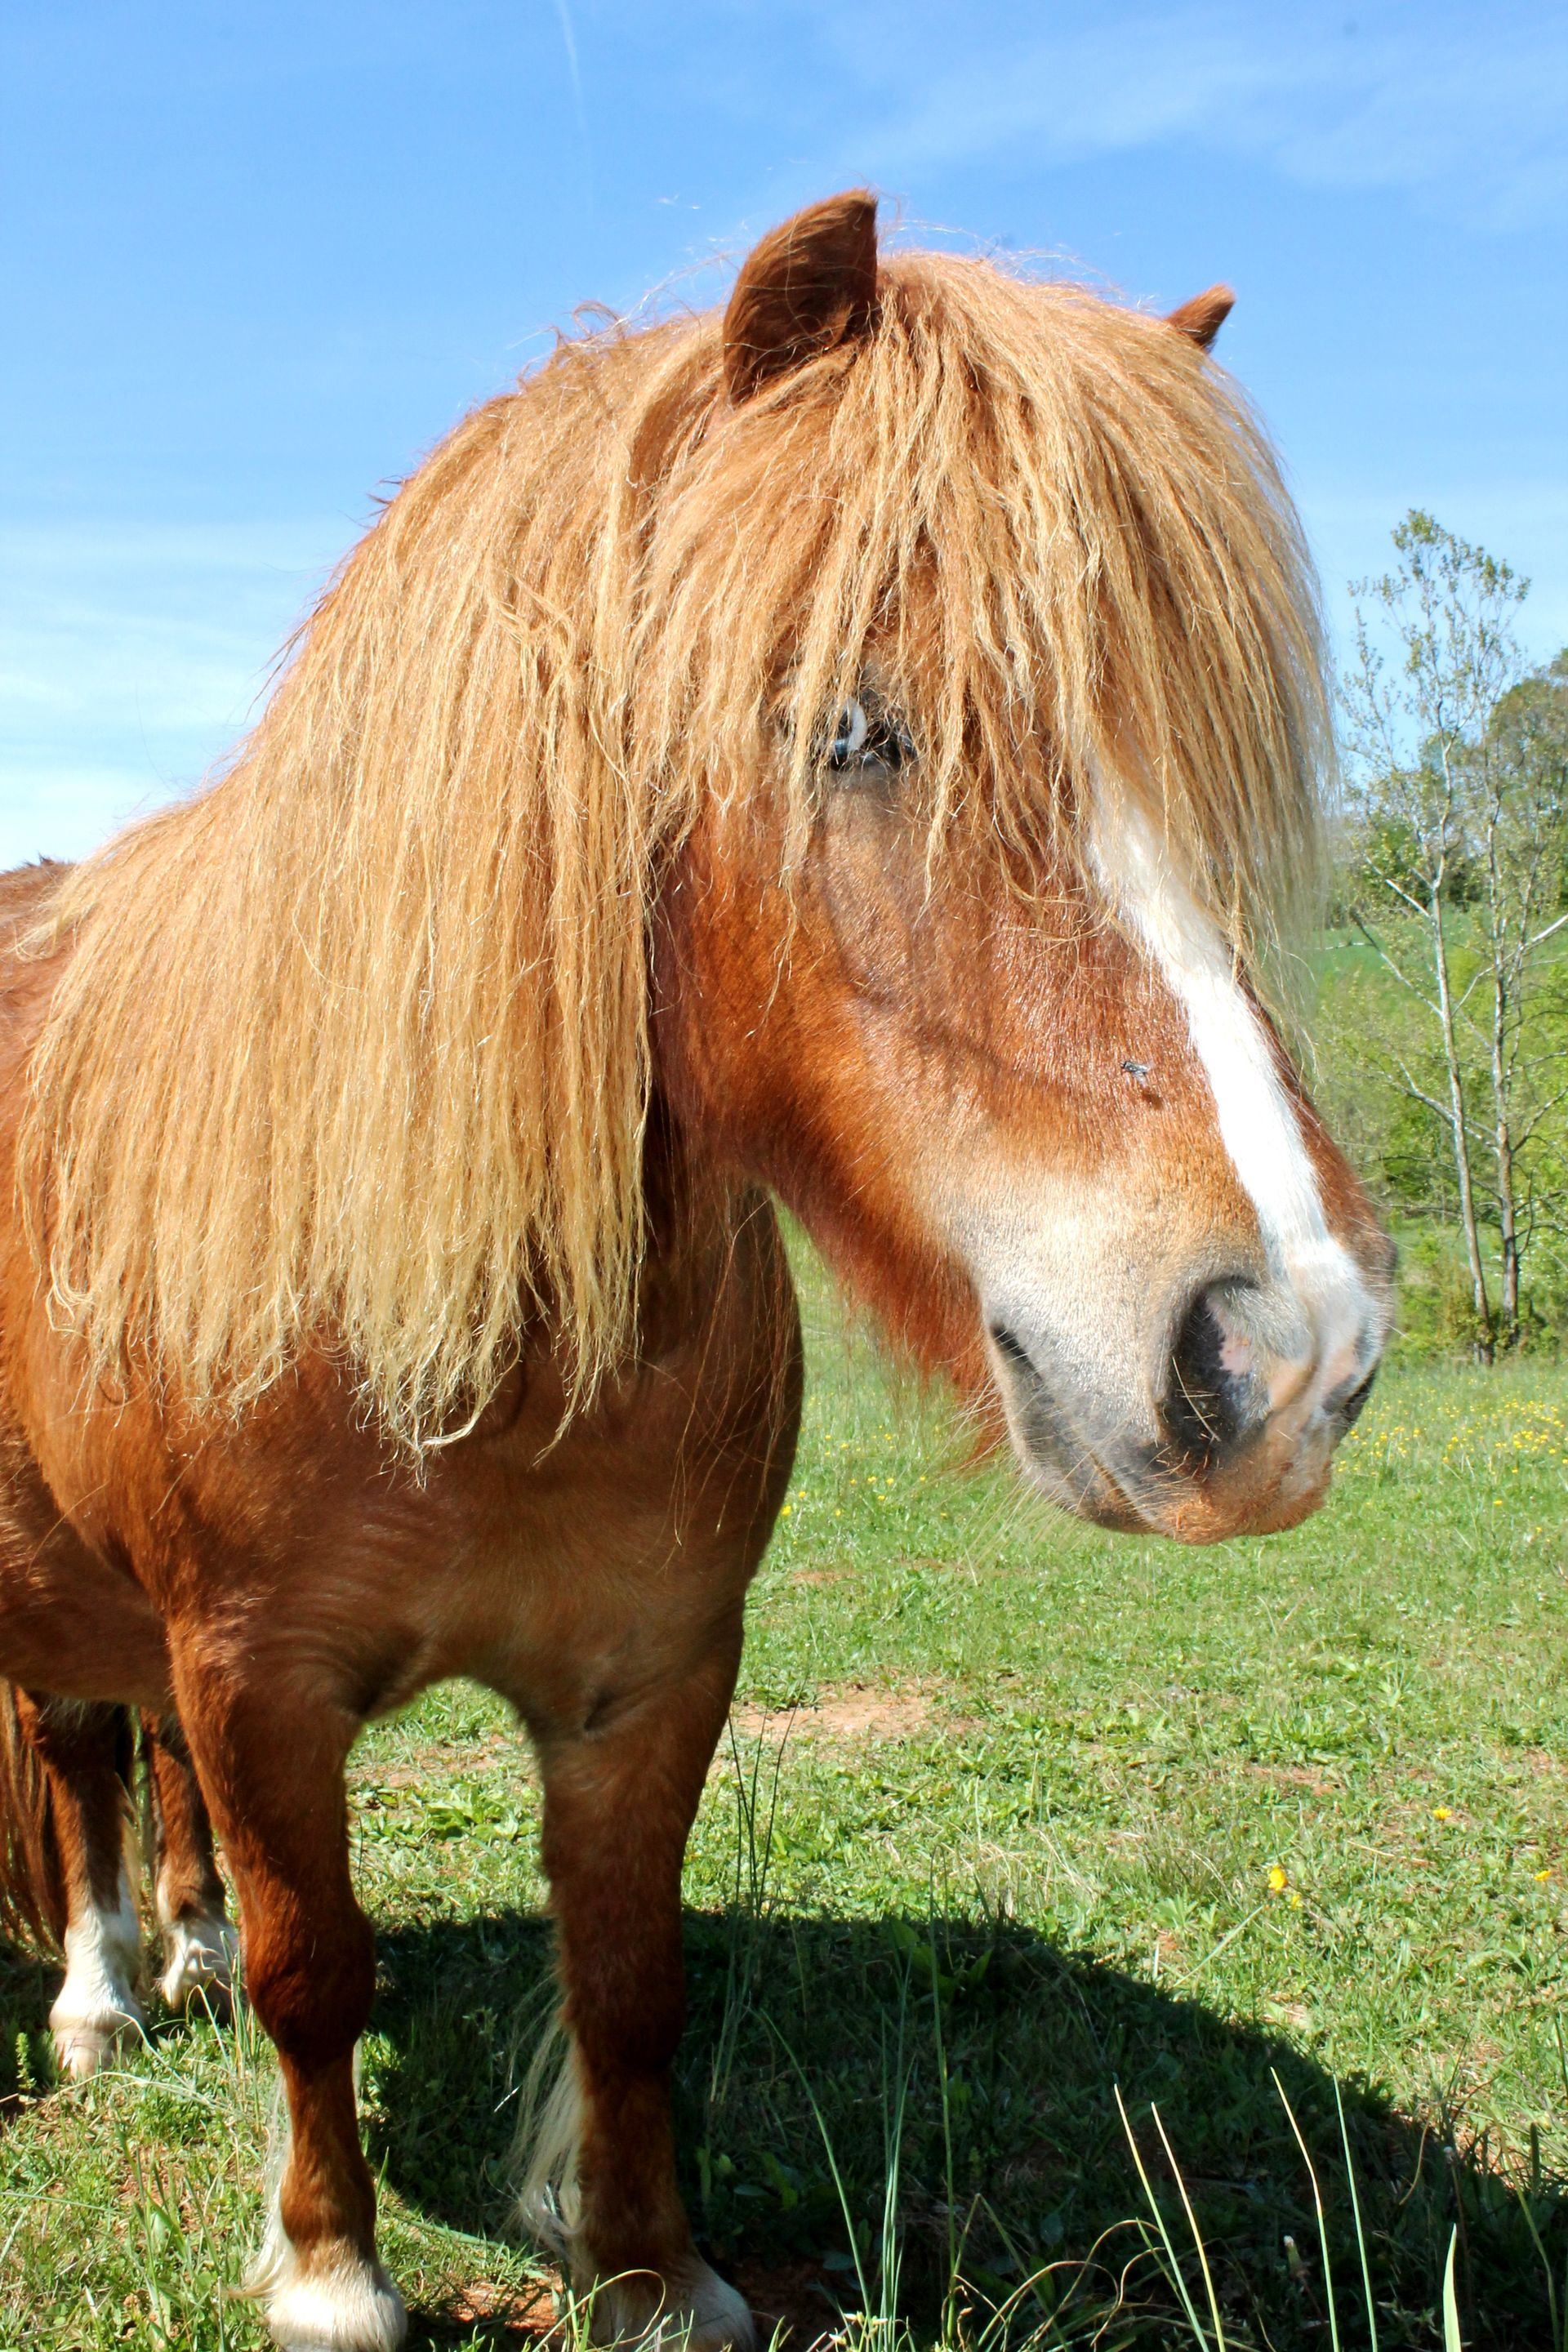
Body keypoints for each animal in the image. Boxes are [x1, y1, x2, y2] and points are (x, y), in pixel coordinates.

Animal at [0, 191, 1393, 2351]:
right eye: (853, 729)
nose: (1285, 1353)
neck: (479, 1344)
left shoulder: (653, 1675)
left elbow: (631, 1980)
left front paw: (653, 2272)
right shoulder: (256, 1675)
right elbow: (327, 1970)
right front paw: (328, 2271)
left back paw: (186, 1954)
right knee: (81, 1753)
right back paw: (97, 2001)